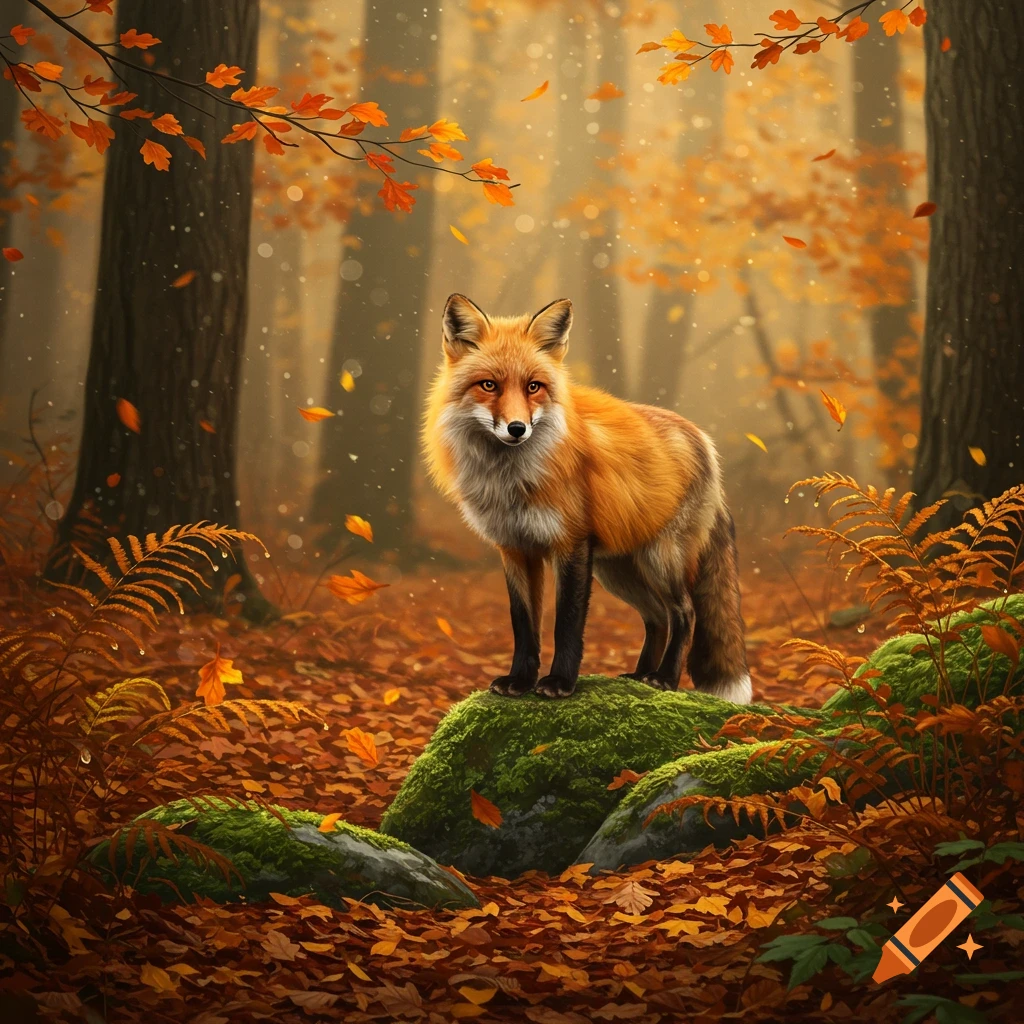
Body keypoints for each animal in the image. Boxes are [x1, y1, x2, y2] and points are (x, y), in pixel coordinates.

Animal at [423, 293, 751, 704]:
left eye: (533, 387)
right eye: (489, 385)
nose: (517, 428)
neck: (511, 482)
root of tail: (704, 439)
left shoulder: (572, 544)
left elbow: (567, 623)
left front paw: (560, 683)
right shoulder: (515, 548)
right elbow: (524, 625)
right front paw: (520, 681)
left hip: (660, 560)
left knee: (685, 613)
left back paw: (665, 679)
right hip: (619, 571)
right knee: (657, 617)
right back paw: (639, 677)